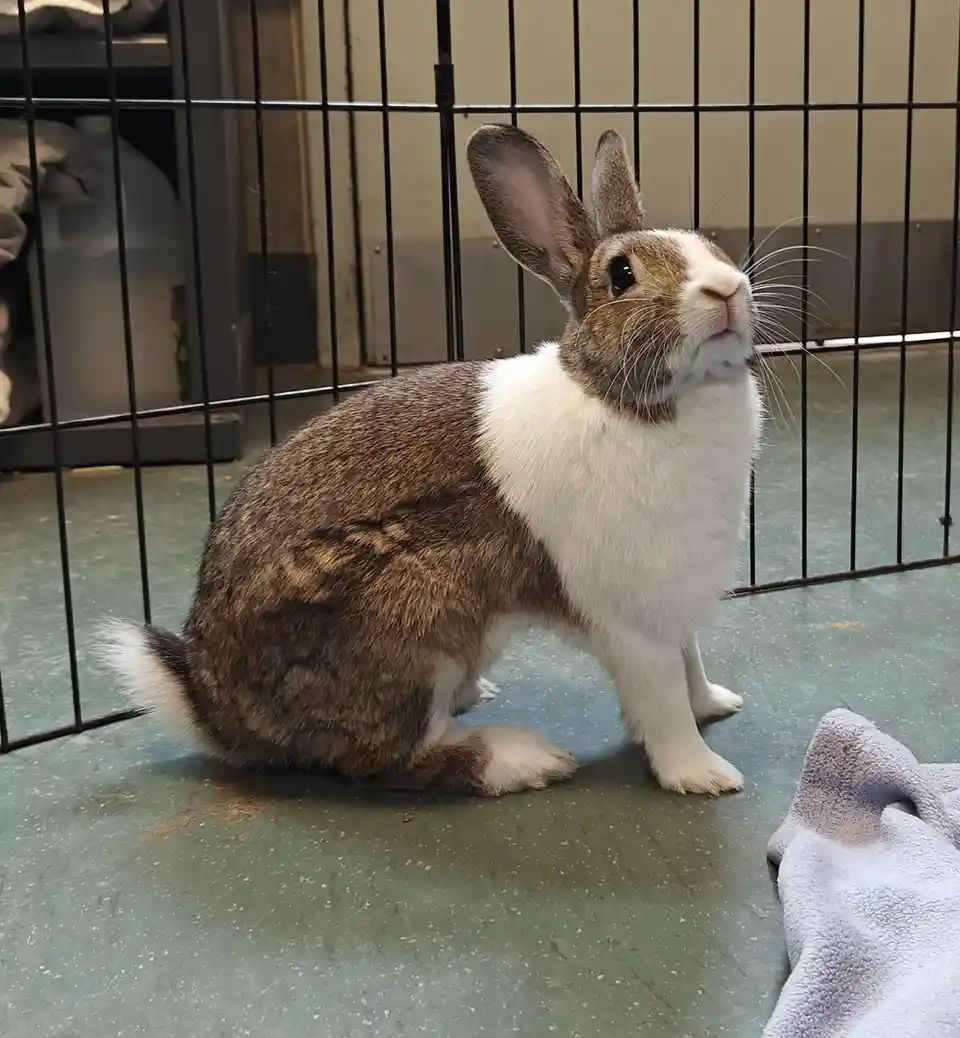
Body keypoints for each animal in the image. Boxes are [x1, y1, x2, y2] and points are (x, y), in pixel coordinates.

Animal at [101, 124, 762, 797]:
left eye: (708, 243)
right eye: (622, 274)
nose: (727, 289)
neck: (625, 399)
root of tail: (216, 707)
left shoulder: (676, 609)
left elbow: (691, 666)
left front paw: (718, 703)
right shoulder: (635, 619)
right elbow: (663, 701)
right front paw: (704, 776)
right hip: (412, 629)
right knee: (391, 758)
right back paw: (524, 758)